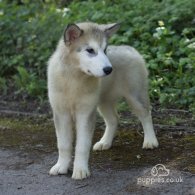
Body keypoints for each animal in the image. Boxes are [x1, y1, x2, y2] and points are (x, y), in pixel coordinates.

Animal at [47, 22, 158, 180]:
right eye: (90, 50)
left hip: (135, 95)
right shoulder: (61, 113)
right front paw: (61, 166)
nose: (109, 69)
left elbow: (82, 145)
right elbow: (63, 144)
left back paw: (150, 141)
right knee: (113, 119)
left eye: (105, 50)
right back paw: (105, 142)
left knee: (146, 114)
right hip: (103, 102)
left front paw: (80, 170)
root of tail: (129, 48)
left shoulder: (85, 113)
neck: (74, 78)